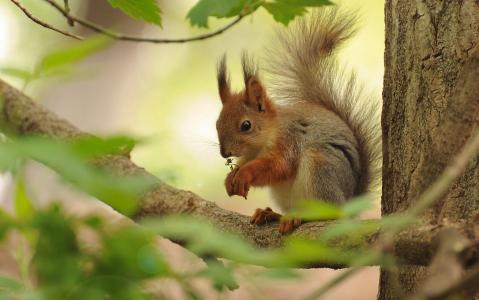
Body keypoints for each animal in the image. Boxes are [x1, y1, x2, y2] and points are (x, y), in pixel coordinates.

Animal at [216, 8, 380, 234]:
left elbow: (278, 166)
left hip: (320, 168)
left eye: (246, 125)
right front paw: (229, 178)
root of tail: (348, 205)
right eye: (217, 123)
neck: (268, 135)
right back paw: (271, 214)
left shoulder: (290, 139)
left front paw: (244, 174)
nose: (224, 153)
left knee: (327, 213)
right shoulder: (251, 153)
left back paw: (298, 217)